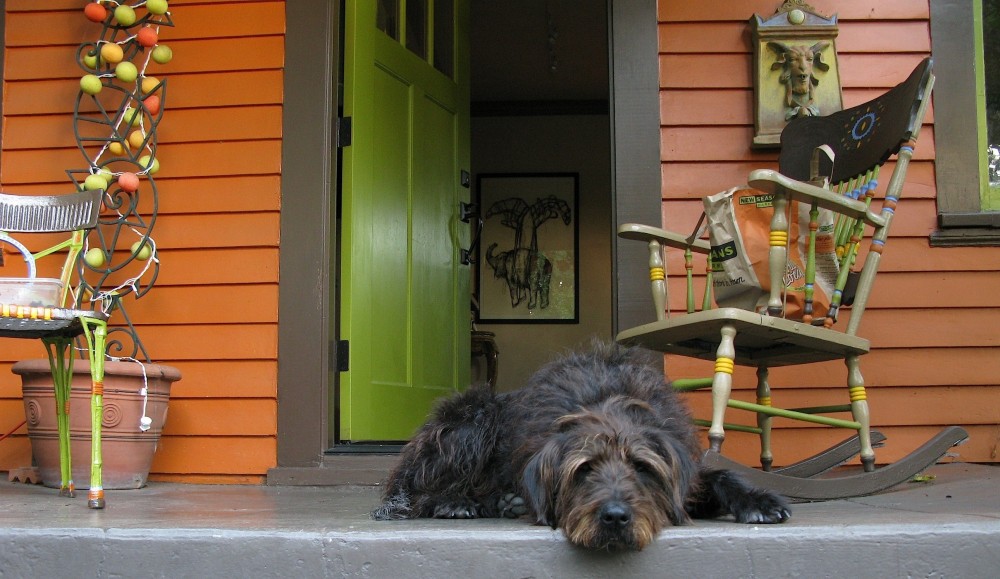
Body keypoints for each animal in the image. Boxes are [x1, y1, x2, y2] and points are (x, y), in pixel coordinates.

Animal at [372, 342, 790, 551]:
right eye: (584, 468)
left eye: (642, 467)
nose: (615, 518)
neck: (609, 402)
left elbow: (720, 477)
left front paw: (758, 500)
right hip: (475, 417)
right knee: (411, 489)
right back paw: (454, 503)